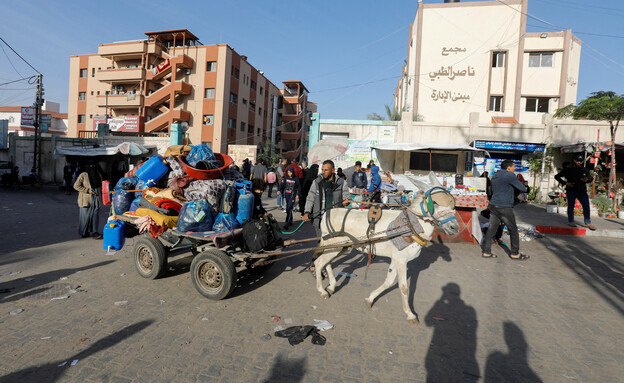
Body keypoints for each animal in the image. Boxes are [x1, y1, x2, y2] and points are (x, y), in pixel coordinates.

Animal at [314, 175, 460, 324]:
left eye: (452, 203)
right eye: (435, 202)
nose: (455, 228)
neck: (411, 225)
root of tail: (327, 212)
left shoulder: (396, 258)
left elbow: (389, 282)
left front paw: (370, 299)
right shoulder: (401, 260)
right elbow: (404, 287)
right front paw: (410, 314)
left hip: (342, 248)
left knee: (327, 262)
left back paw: (331, 286)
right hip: (335, 245)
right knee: (319, 262)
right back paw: (322, 291)